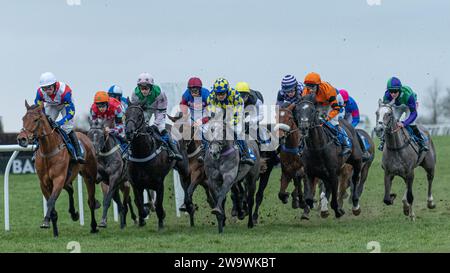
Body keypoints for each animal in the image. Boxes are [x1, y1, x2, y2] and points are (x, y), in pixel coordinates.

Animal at [17, 101, 99, 237]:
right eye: (23, 118)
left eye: (35, 119)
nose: (21, 139)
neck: (48, 151)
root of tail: (85, 137)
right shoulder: (44, 183)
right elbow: (52, 205)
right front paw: (55, 232)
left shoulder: (59, 179)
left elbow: (51, 201)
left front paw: (45, 221)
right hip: (68, 177)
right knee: (70, 189)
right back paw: (74, 214)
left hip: (89, 176)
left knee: (91, 201)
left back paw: (93, 226)